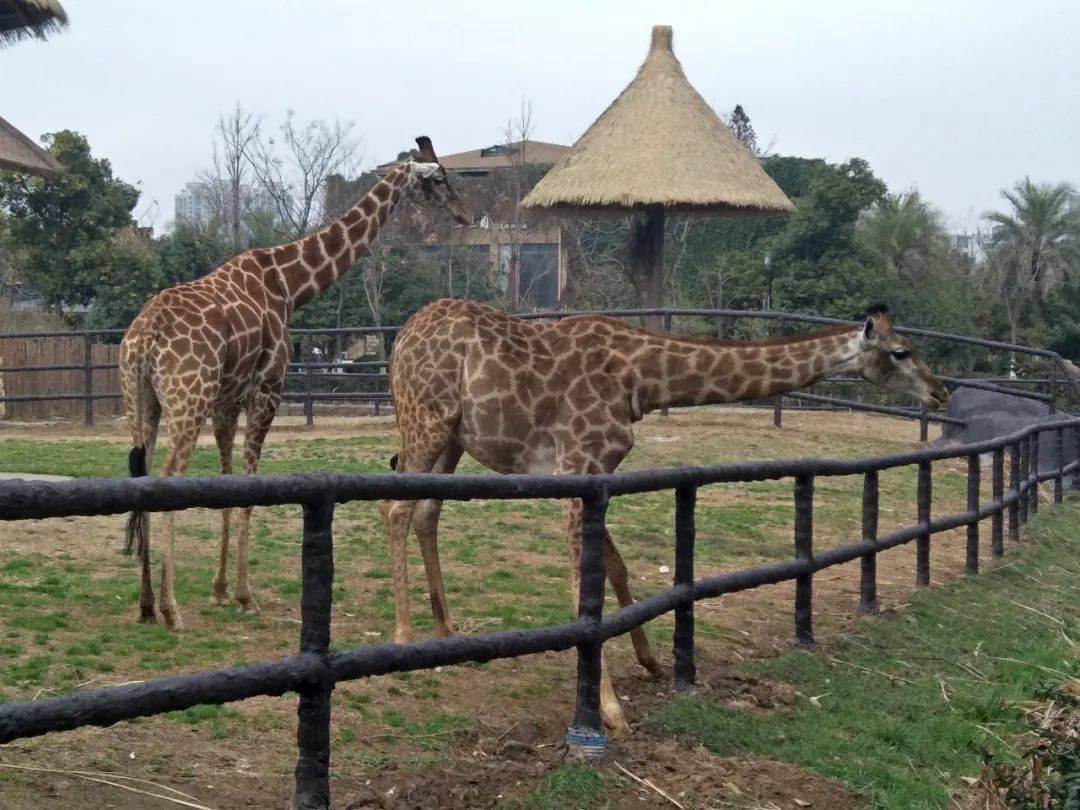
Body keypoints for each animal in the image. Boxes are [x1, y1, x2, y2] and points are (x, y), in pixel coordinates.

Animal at [119, 138, 473, 635]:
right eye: (438, 179)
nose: (464, 215)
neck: (288, 282)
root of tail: (144, 340)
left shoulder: (227, 400)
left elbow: (227, 486)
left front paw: (220, 589)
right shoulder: (269, 387)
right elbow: (248, 487)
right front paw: (244, 596)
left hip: (141, 401)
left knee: (145, 476)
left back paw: (147, 604)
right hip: (187, 399)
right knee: (168, 480)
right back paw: (172, 610)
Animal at [378, 302, 946, 738]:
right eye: (901, 351)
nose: (941, 392)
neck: (640, 378)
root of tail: (399, 339)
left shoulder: (599, 473)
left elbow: (616, 567)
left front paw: (651, 662)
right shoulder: (578, 464)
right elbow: (582, 590)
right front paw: (609, 712)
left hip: (453, 437)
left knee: (426, 510)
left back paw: (446, 631)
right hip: (426, 419)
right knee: (395, 506)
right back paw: (404, 634)